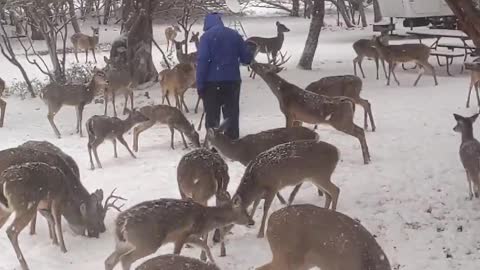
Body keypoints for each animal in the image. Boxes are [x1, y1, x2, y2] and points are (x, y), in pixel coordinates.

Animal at [104, 197, 255, 268]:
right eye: (245, 212)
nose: (252, 222)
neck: (205, 219)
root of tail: (120, 222)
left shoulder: (190, 236)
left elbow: (205, 246)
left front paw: (213, 263)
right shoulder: (182, 235)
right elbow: (176, 254)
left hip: (125, 243)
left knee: (109, 260)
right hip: (148, 241)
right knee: (125, 259)